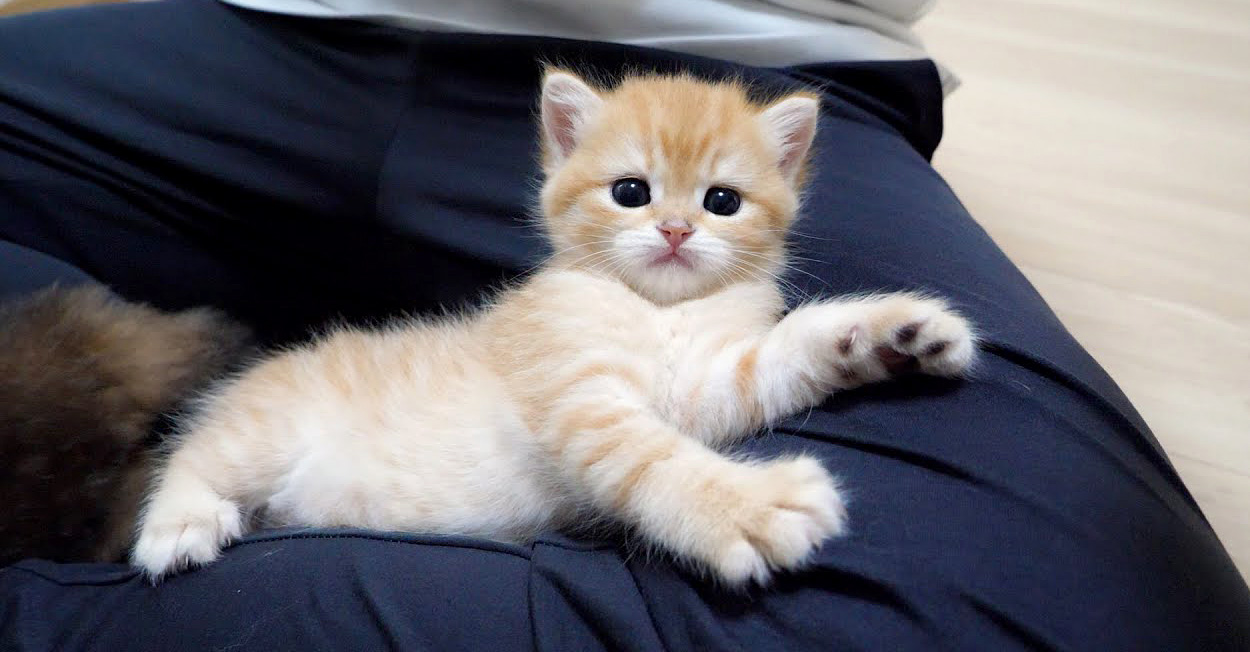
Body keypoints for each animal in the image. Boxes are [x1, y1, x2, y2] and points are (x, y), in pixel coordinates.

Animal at [132, 69, 976, 586]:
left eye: (722, 201)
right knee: (195, 453)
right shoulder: (574, 393)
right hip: (260, 429)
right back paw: (180, 523)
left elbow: (781, 355)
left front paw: (897, 334)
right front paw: (750, 508)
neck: (654, 309)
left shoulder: (703, 388)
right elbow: (652, 458)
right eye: (631, 192)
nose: (675, 230)